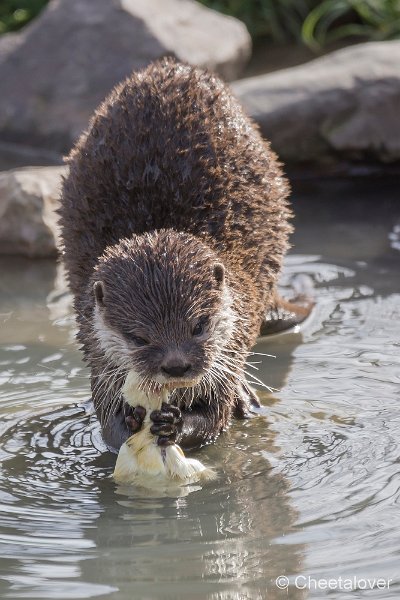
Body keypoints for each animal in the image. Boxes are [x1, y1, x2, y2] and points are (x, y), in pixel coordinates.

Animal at [58, 58, 310, 454]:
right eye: (138, 338)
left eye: (199, 325)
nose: (176, 366)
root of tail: (172, 67)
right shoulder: (95, 349)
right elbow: (106, 419)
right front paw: (128, 423)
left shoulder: (234, 337)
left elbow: (214, 416)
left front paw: (178, 425)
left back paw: (244, 396)